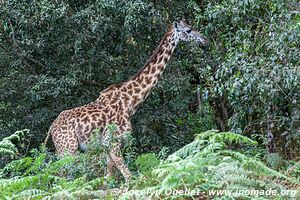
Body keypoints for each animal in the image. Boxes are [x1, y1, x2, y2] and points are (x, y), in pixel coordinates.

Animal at [44, 19, 209, 181]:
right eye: (188, 30)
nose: (204, 39)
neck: (131, 101)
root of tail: (51, 128)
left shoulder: (107, 145)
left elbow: (109, 177)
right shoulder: (112, 141)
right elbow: (128, 176)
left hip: (65, 150)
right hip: (68, 148)